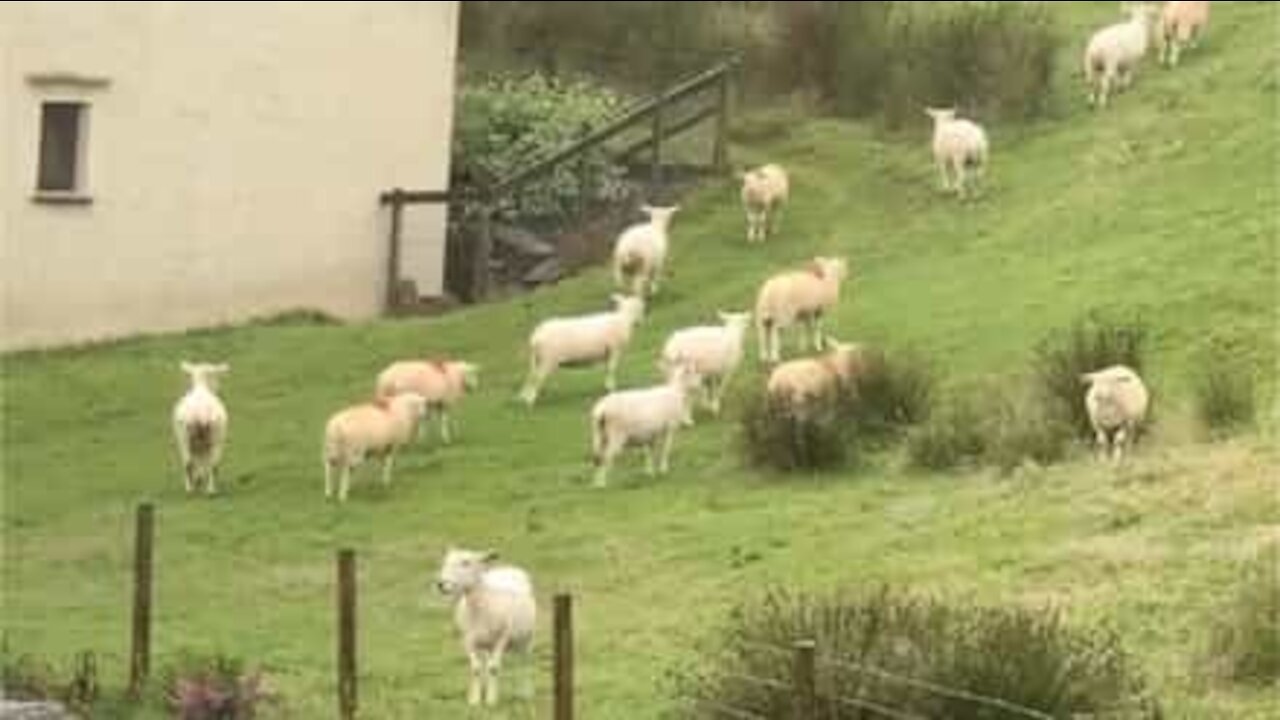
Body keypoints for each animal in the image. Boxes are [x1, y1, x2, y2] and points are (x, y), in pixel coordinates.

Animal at [172, 358, 230, 491]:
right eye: (215, 375)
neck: (201, 387)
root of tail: (201, 413)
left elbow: (199, 462)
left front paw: (199, 479)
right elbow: (202, 462)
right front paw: (200, 479)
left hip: (185, 436)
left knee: (189, 462)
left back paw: (191, 489)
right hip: (214, 435)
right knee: (211, 463)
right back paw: (210, 489)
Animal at [435, 545, 535, 702]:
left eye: (466, 562)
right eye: (445, 561)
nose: (441, 584)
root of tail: (508, 568)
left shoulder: (502, 638)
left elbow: (494, 668)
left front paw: (491, 700)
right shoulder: (468, 641)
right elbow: (476, 669)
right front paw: (474, 699)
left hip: (527, 637)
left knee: (524, 662)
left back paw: (526, 692)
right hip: (486, 644)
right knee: (485, 664)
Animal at [517, 292, 645, 404]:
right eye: (639, 308)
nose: (640, 322)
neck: (623, 318)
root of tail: (536, 336)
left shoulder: (608, 352)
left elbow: (607, 369)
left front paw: (607, 386)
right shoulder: (615, 349)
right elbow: (611, 369)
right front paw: (611, 388)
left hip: (537, 359)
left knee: (531, 376)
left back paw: (524, 397)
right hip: (548, 359)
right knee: (537, 378)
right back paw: (530, 401)